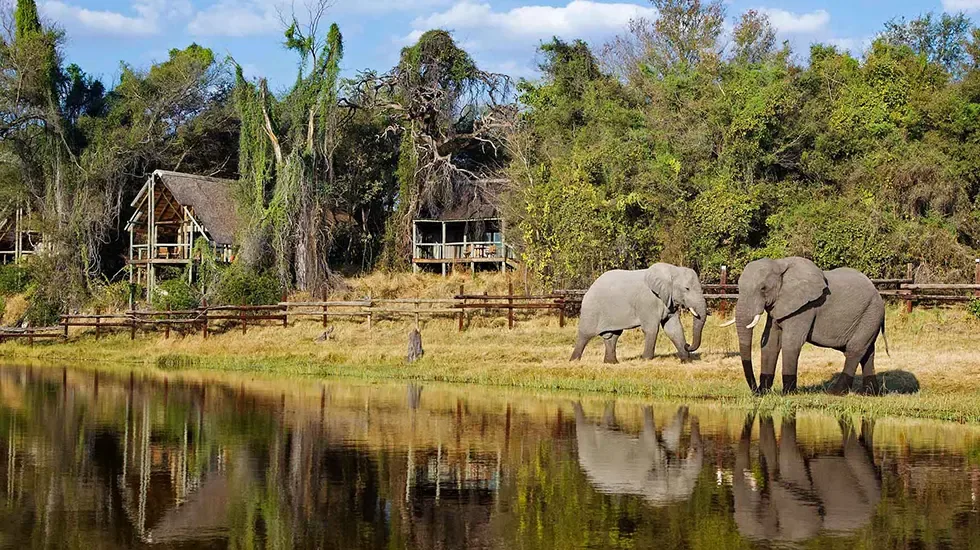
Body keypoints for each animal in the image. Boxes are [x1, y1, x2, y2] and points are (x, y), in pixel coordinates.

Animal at [571, 264, 708, 364]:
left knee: (612, 336)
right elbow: (651, 329)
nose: (687, 345)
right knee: (585, 334)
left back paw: (612, 363)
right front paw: (645, 359)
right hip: (591, 309)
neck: (671, 270)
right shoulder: (647, 302)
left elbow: (674, 328)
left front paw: (686, 361)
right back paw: (574, 361)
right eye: (687, 289)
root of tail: (589, 288)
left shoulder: (669, 301)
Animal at [719, 257, 887, 395]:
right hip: (869, 316)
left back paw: (835, 392)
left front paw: (787, 393)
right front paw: (765, 392)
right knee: (867, 351)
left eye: (763, 289)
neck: (779, 264)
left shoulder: (805, 308)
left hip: (871, 313)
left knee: (854, 350)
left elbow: (791, 343)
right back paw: (870, 394)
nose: (755, 392)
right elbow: (770, 343)